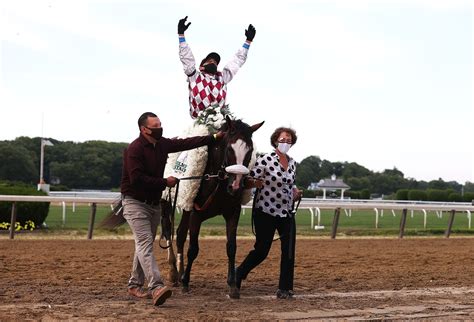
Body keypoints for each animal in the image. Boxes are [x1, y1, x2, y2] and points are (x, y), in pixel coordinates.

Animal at [164, 115, 262, 296]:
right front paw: (186, 282)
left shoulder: (233, 212)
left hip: (185, 205)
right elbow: (193, 249)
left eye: (250, 150)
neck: (218, 181)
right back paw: (174, 273)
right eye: (229, 149)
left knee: (180, 234)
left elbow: (231, 247)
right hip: (166, 199)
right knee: (168, 231)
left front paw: (232, 285)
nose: (236, 186)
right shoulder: (196, 213)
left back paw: (180, 273)